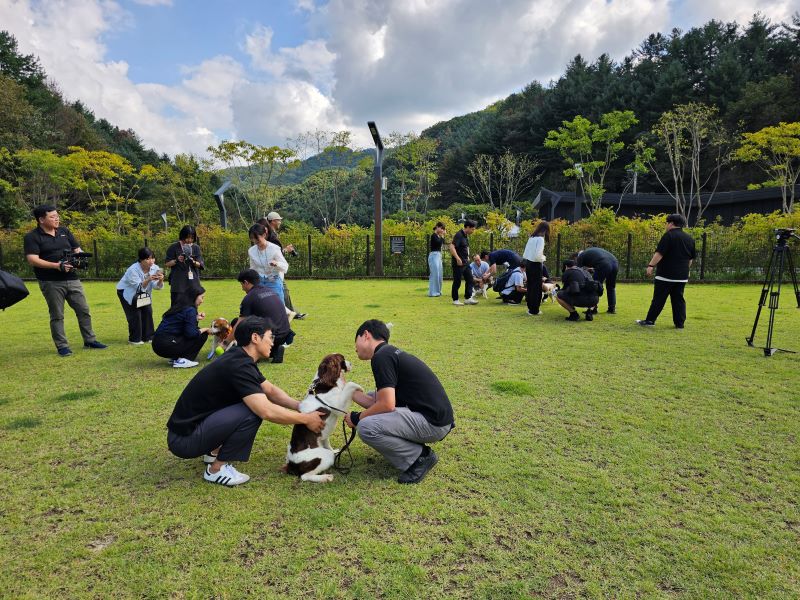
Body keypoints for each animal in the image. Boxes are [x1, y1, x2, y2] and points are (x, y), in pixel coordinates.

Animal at [286, 352, 364, 482]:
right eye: (342, 359)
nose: (351, 363)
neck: (323, 382)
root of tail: (292, 465)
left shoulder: (324, 435)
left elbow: (327, 441)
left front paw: (335, 450)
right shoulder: (339, 407)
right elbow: (349, 384)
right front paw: (360, 387)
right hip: (324, 457)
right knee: (305, 476)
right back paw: (325, 477)